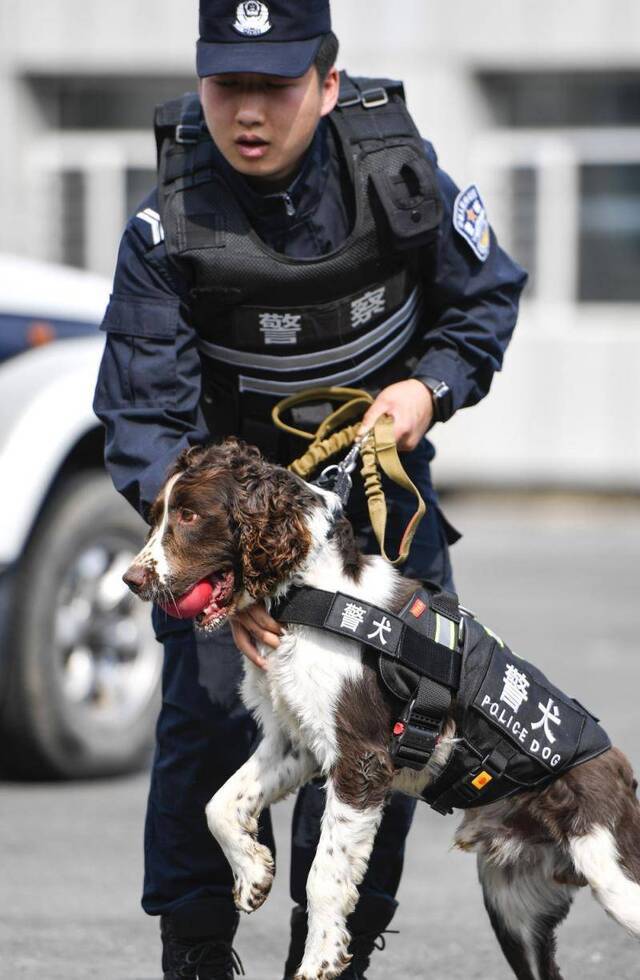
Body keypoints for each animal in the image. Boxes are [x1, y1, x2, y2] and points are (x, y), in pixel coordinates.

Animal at [124, 440, 640, 976]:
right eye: (156, 514)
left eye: (189, 515)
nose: (131, 580)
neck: (310, 591)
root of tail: (620, 770)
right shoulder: (298, 740)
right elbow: (219, 804)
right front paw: (253, 873)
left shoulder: (362, 760)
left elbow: (323, 875)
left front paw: (319, 961)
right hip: (513, 906)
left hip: (611, 870)